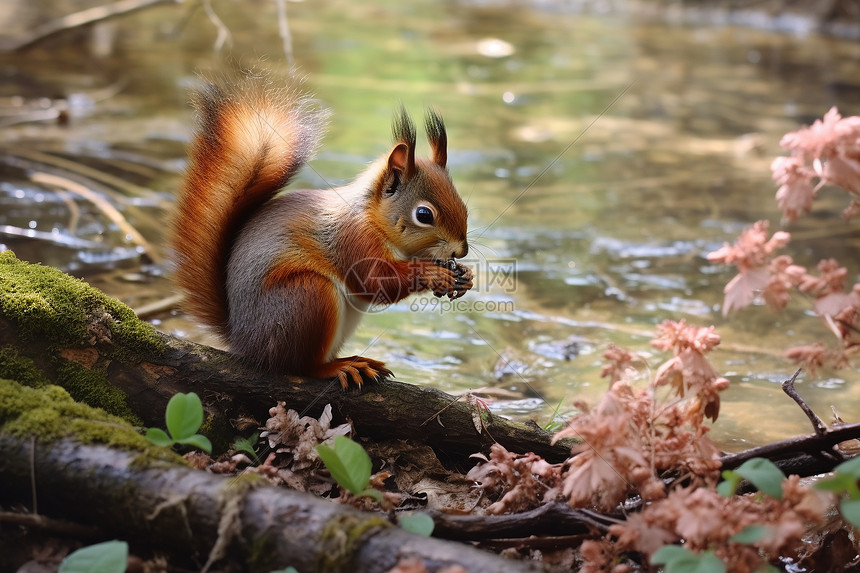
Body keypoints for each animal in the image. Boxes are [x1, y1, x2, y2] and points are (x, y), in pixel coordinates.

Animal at [170, 69, 474, 386]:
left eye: (464, 207)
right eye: (424, 214)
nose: (462, 251)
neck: (372, 218)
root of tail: (245, 343)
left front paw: (465, 276)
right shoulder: (352, 238)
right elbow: (373, 282)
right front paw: (431, 274)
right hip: (306, 298)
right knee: (299, 366)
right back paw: (338, 367)